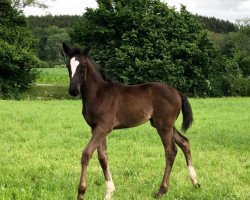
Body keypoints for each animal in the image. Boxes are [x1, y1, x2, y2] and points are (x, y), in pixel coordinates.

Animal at [62, 43, 199, 199]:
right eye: (68, 65)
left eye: (83, 66)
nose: (73, 90)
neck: (98, 94)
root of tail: (177, 92)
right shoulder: (96, 128)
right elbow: (103, 157)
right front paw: (109, 192)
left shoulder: (104, 127)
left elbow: (86, 154)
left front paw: (81, 192)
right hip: (165, 124)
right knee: (184, 142)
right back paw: (195, 182)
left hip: (163, 125)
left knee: (171, 151)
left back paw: (161, 190)